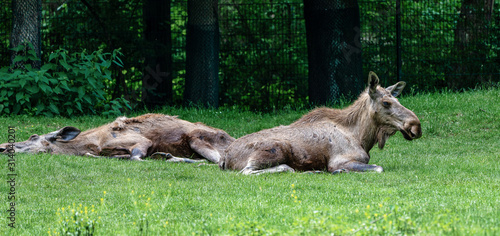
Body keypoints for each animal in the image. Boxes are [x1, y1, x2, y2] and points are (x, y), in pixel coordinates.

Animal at [222, 71, 422, 174]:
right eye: (386, 102)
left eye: (398, 99)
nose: (416, 126)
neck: (362, 137)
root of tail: (224, 158)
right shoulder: (340, 160)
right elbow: (378, 168)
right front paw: (339, 171)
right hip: (274, 149)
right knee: (254, 171)